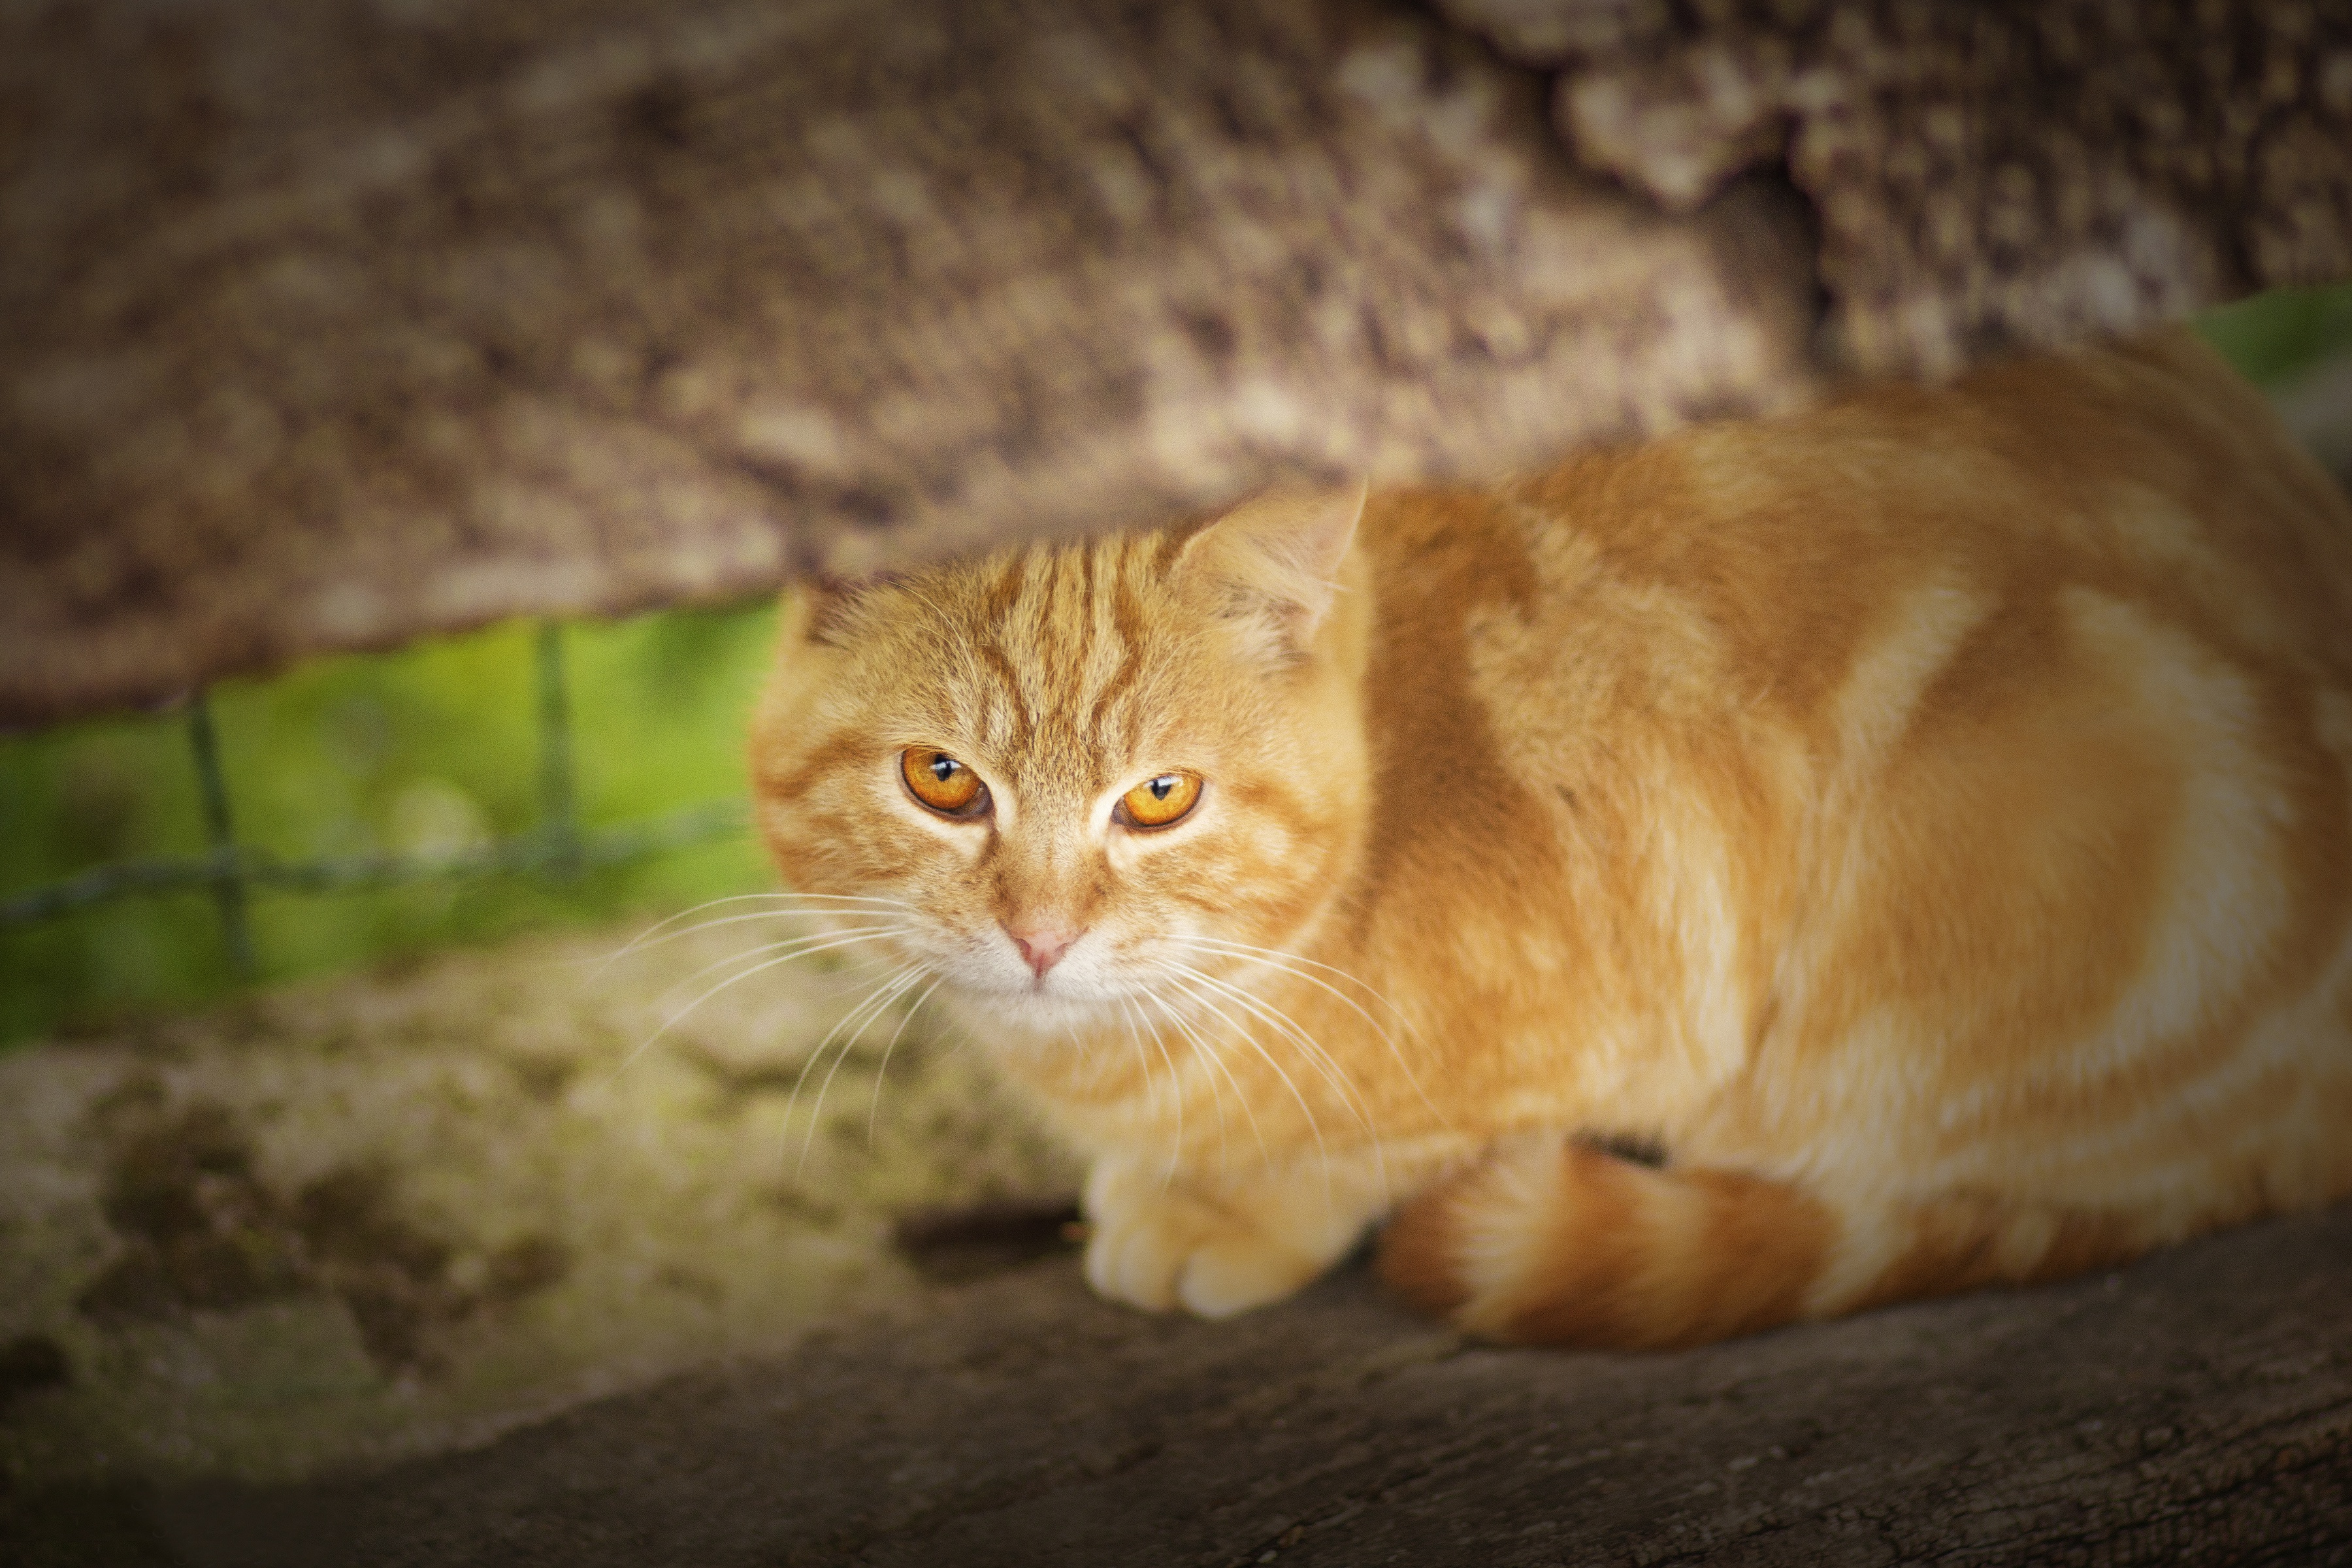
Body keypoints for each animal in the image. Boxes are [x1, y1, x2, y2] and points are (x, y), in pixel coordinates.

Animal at [747, 331, 2352, 1354]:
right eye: (943, 780)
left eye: (1158, 799)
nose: (1040, 935)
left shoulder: (1671, 932)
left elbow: (1387, 1141)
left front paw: (1233, 1207)